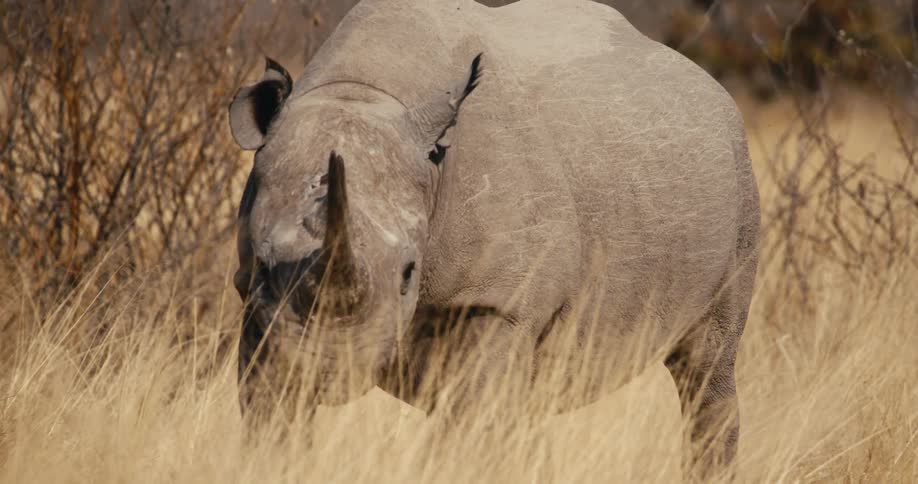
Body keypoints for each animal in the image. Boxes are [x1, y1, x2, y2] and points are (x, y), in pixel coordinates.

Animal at [229, 0, 759, 478]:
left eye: (408, 274)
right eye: (263, 266)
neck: (362, 91)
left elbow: (470, 428)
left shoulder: (499, 299)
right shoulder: (258, 303)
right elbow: (268, 415)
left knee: (706, 368)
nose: (329, 368)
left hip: (736, 178)